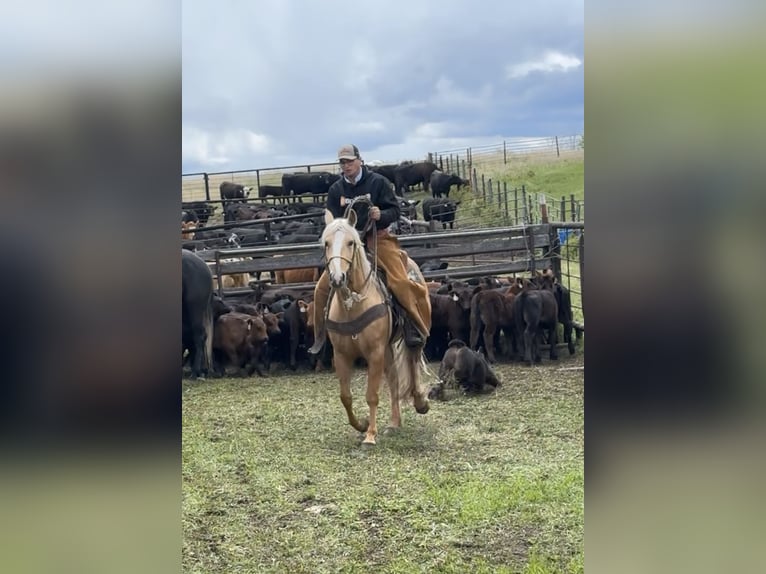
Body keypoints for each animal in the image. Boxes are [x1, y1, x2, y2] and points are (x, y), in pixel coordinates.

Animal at [320, 209, 432, 448]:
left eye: (351, 242)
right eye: (326, 243)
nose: (337, 278)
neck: (354, 304)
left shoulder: (374, 353)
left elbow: (372, 395)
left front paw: (370, 436)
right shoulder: (342, 355)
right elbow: (346, 397)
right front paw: (361, 425)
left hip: (410, 334)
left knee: (413, 359)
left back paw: (420, 401)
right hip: (387, 350)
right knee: (394, 380)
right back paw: (394, 423)